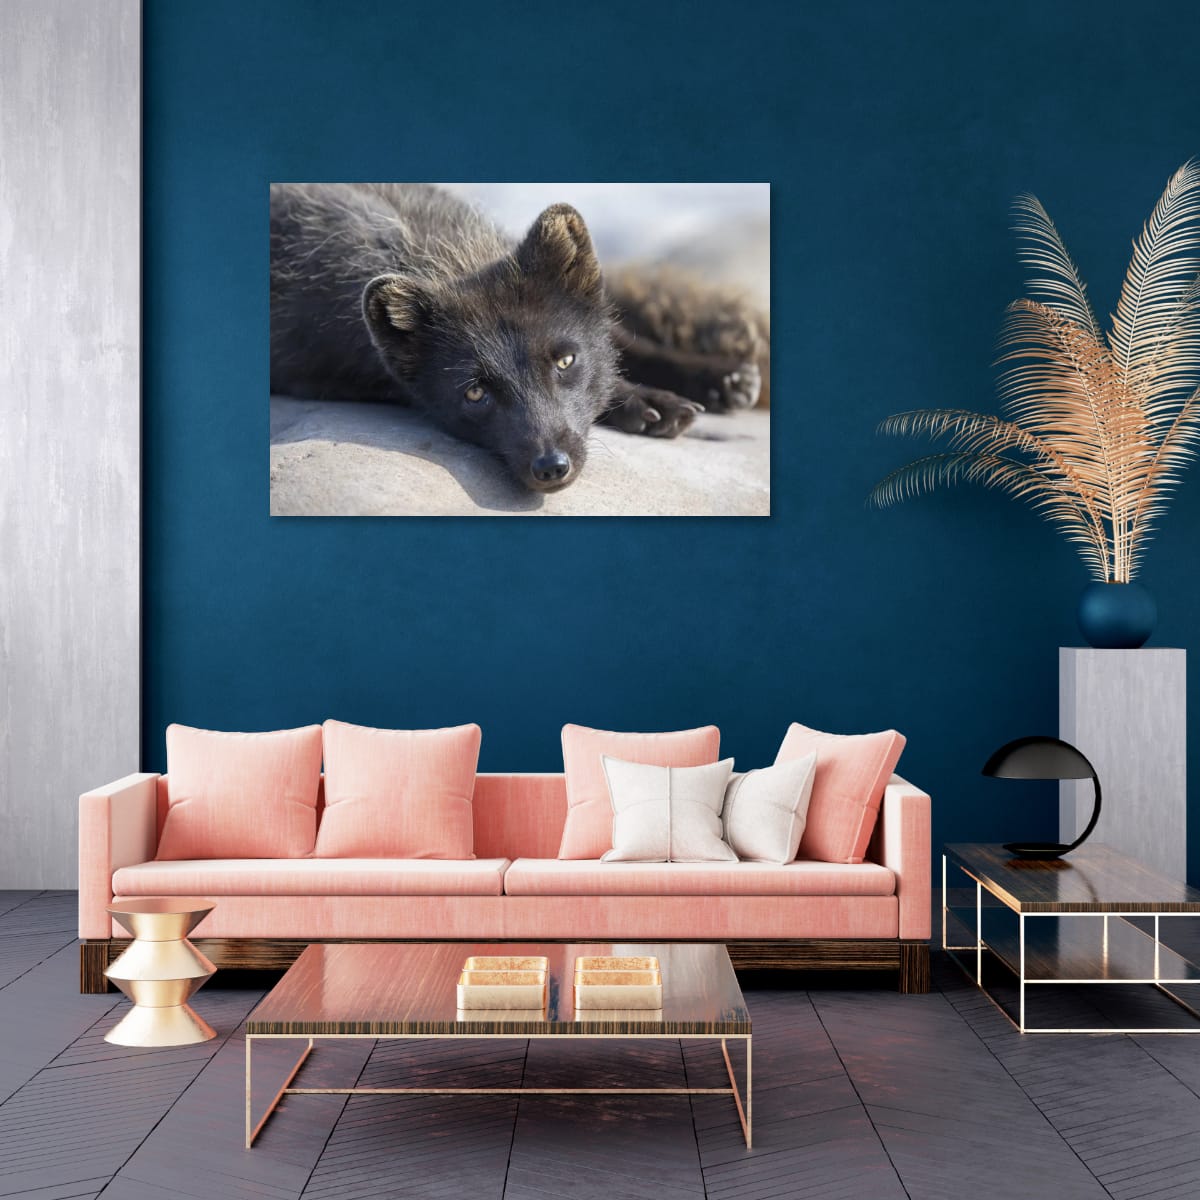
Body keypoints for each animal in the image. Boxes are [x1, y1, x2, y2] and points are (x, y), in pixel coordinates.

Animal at [270, 183, 768, 492]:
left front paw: (719, 378)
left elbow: (621, 342)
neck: (439, 251)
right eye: (475, 393)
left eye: (565, 362)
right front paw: (646, 403)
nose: (551, 468)